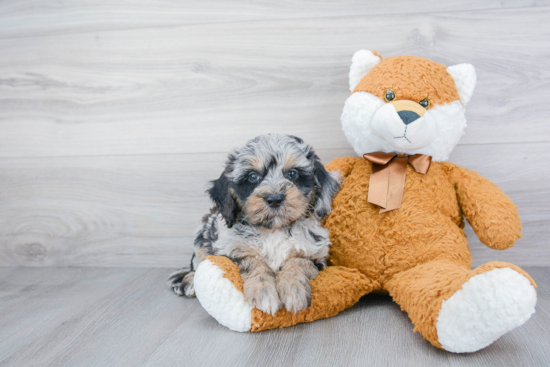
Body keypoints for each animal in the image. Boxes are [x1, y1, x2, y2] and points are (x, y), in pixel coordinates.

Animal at [168, 134, 340, 314]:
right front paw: (264, 293)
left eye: (292, 173)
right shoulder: (229, 251)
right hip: (203, 233)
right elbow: (253, 261)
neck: (274, 230)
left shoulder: (316, 255)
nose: (274, 199)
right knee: (197, 262)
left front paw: (294, 290)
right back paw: (188, 281)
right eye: (252, 176)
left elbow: (297, 261)